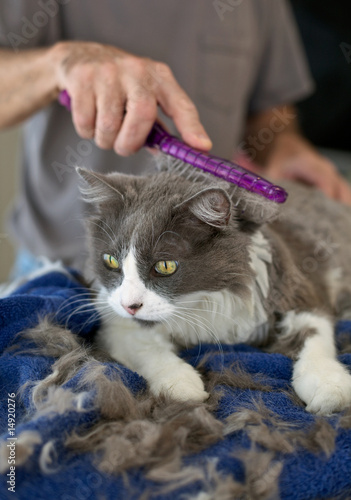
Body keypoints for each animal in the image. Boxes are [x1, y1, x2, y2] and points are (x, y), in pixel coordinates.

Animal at [76, 159, 351, 414]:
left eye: (165, 266)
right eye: (110, 261)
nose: (130, 306)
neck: (202, 301)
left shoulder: (299, 292)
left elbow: (315, 337)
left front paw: (330, 388)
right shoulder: (114, 322)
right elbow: (145, 347)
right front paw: (181, 385)